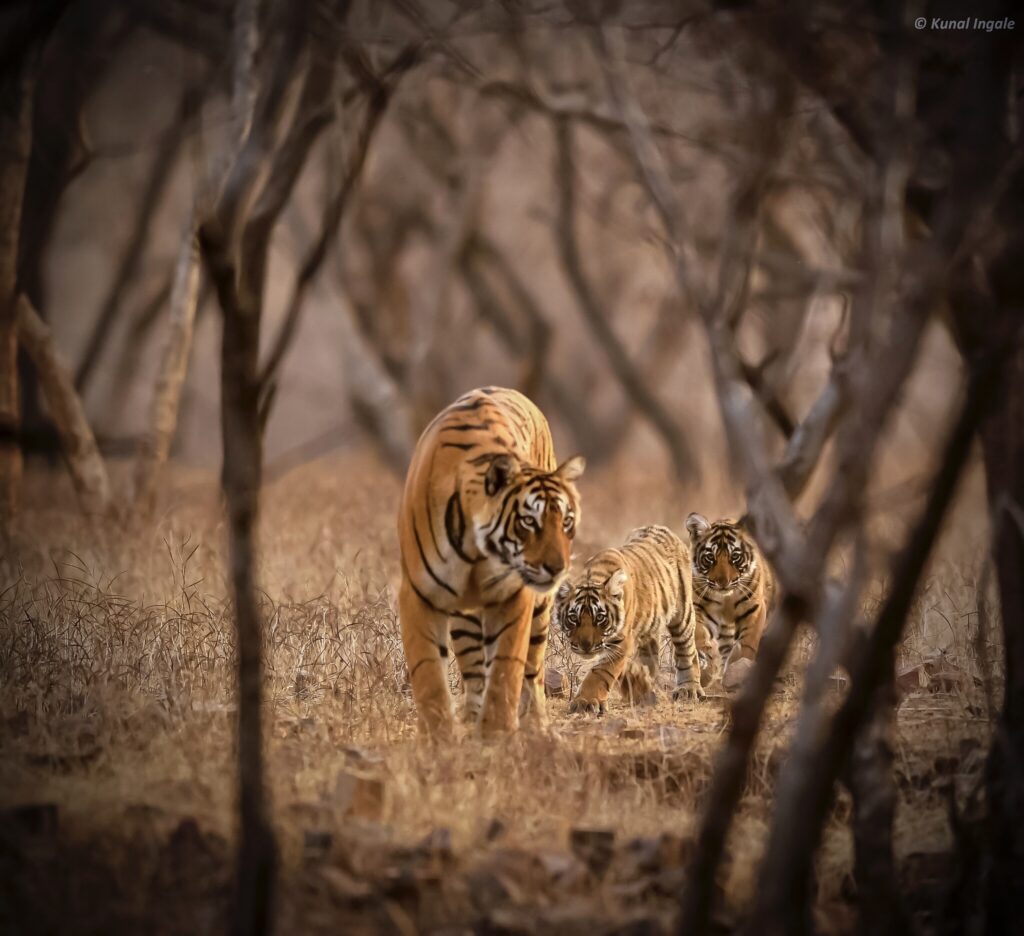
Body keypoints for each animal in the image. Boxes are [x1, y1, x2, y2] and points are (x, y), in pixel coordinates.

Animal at [395, 387, 585, 737]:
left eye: (566, 521)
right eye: (529, 521)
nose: (558, 568)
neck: (476, 548)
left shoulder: (513, 595)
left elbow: (506, 669)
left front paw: (497, 733)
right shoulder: (418, 594)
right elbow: (429, 675)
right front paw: (439, 739)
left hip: (539, 610)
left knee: (532, 668)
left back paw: (536, 725)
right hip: (463, 614)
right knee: (473, 671)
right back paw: (472, 718)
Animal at [552, 522, 704, 712]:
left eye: (600, 618)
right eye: (573, 618)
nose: (586, 646)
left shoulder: (621, 640)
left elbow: (601, 671)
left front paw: (585, 702)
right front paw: (635, 681)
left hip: (682, 614)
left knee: (687, 650)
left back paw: (688, 690)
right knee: (650, 656)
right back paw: (645, 686)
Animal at [688, 509, 774, 684]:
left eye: (734, 556)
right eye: (710, 557)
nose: (723, 582)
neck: (726, 599)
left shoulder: (754, 610)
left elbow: (747, 645)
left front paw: (738, 671)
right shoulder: (699, 607)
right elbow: (699, 634)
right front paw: (706, 670)